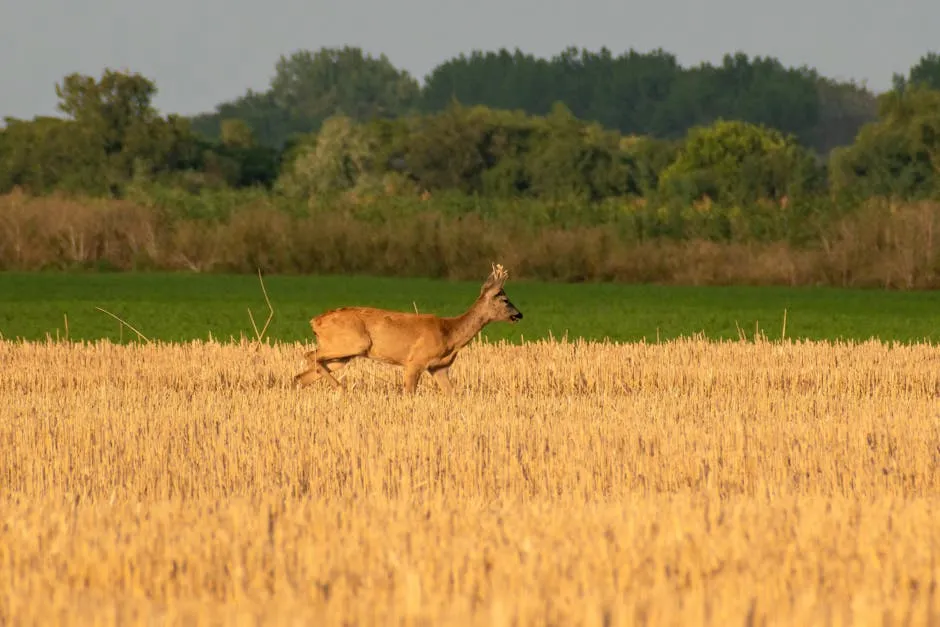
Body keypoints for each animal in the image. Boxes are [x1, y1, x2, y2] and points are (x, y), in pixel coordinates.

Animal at [294, 264, 520, 392]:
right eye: (505, 300)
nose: (519, 314)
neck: (450, 333)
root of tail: (314, 321)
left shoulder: (439, 367)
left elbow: (453, 394)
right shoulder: (415, 360)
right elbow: (409, 393)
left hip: (342, 355)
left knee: (301, 376)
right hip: (354, 343)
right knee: (309, 355)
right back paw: (341, 389)